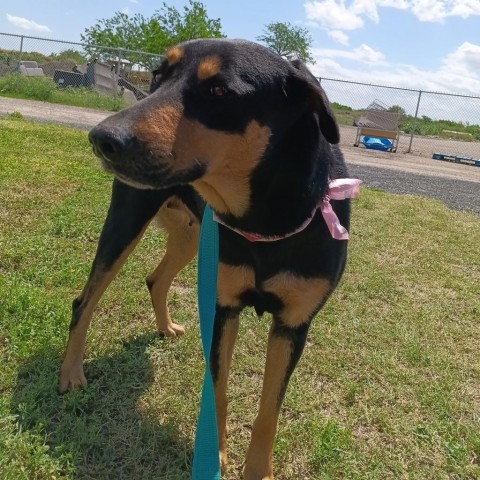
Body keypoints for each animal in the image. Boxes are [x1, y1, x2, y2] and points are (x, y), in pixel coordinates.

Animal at [59, 39, 360, 478]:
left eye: (218, 91)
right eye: (157, 75)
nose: (101, 138)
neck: (264, 219)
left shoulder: (293, 323)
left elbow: (269, 411)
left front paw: (258, 470)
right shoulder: (223, 307)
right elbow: (218, 387)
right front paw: (212, 455)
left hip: (191, 236)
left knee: (155, 279)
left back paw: (165, 327)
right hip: (128, 222)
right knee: (85, 301)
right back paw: (71, 373)